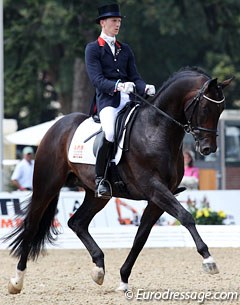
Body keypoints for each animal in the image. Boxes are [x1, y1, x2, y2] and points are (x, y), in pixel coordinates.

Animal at [4, 66, 232, 292]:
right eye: (205, 109)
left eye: (220, 110)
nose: (208, 149)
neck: (156, 130)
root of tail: (57, 125)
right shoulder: (154, 188)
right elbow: (186, 216)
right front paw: (208, 259)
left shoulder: (157, 197)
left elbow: (141, 236)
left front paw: (123, 279)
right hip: (46, 186)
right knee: (32, 226)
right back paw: (17, 280)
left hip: (97, 195)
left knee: (77, 222)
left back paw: (98, 268)